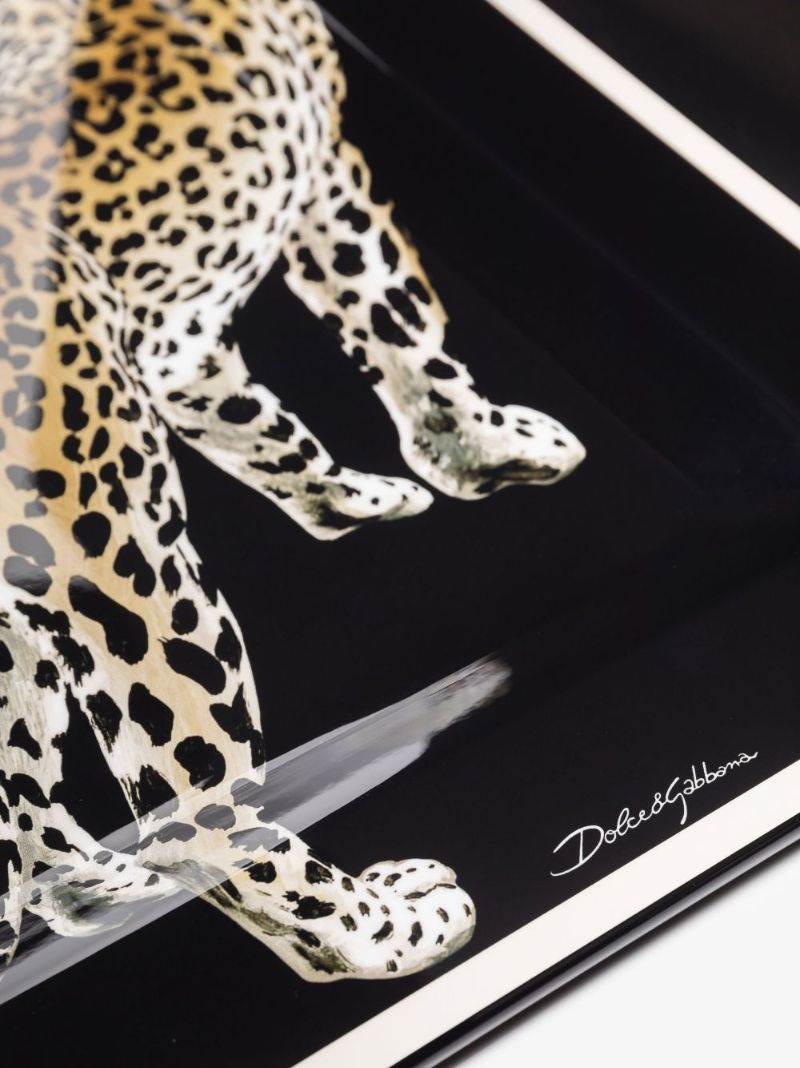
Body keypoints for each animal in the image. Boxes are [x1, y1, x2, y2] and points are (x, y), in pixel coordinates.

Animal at [0, 0, 585, 983]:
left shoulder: (182, 349)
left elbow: (245, 411)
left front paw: (352, 498)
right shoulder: (332, 169)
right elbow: (397, 314)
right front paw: (491, 447)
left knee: (25, 814)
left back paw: (97, 891)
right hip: (123, 554)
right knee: (204, 829)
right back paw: (404, 922)